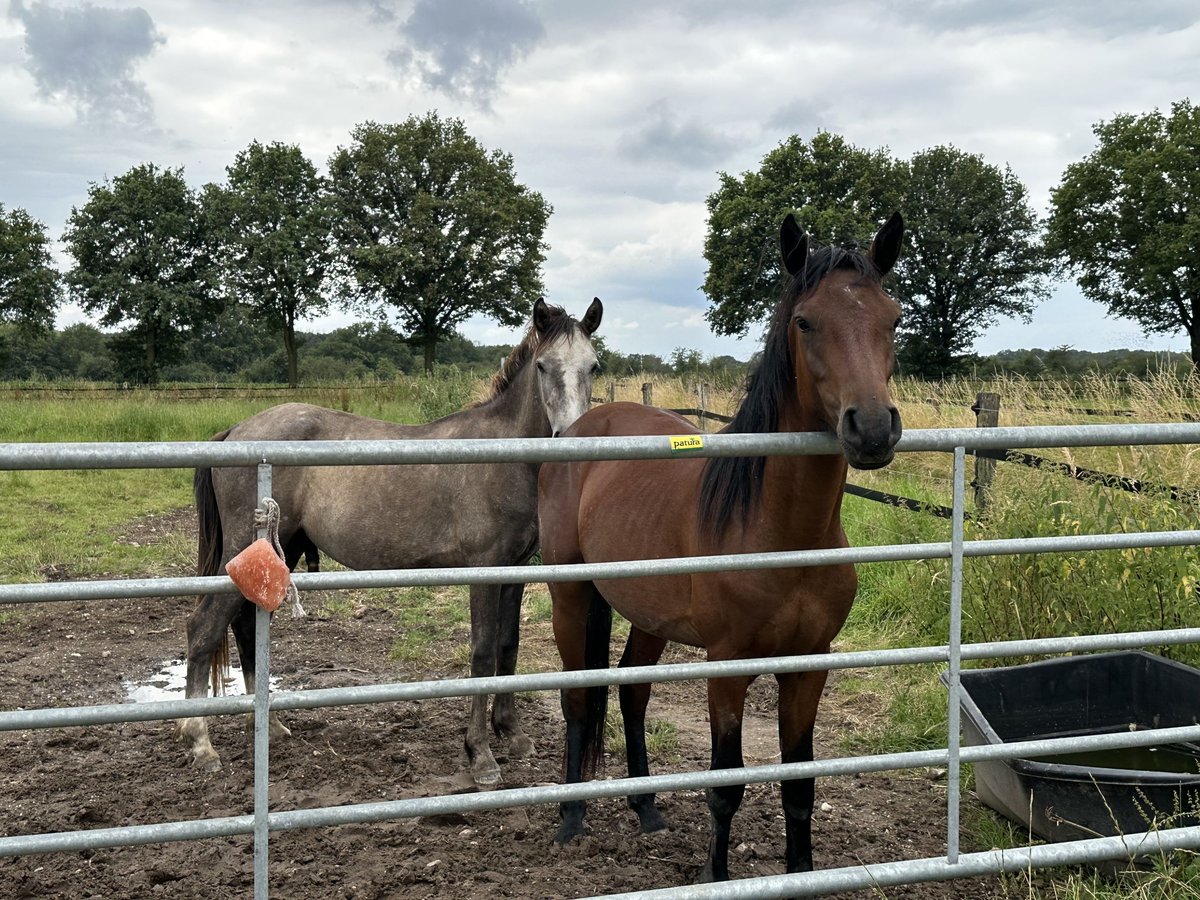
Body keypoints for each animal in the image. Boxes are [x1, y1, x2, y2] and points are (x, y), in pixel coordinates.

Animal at [176, 297, 600, 787]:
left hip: (279, 548)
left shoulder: (515, 571)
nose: (571, 440)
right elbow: (482, 654)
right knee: (204, 628)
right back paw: (200, 742)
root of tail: (236, 431)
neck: (503, 456)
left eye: (594, 365)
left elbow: (508, 648)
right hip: (244, 549)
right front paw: (480, 754)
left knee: (245, 624)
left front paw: (512, 734)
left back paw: (267, 725)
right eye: (544, 366)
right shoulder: (484, 571)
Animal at [540, 217, 902, 883]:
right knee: (578, 697)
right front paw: (717, 875)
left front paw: (801, 873)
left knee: (631, 690)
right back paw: (571, 820)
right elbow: (726, 785)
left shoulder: (809, 666)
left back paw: (647, 810)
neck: (783, 535)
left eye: (891, 318)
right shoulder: (727, 668)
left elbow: (799, 785)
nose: (870, 428)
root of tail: (579, 427)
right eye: (806, 321)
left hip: (648, 614)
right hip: (570, 593)